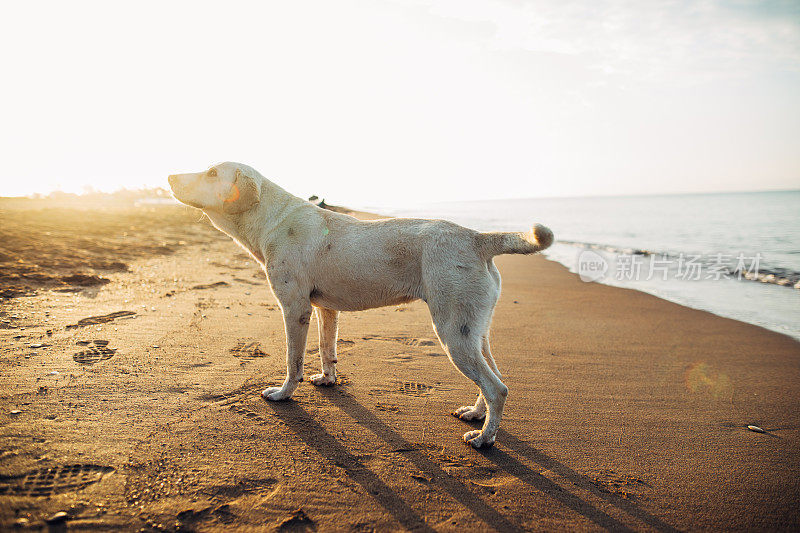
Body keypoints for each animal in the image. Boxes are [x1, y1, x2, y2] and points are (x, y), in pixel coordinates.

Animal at [169, 161, 552, 444]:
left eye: (212, 173)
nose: (170, 176)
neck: (270, 218)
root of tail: (478, 238)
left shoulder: (295, 309)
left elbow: (293, 361)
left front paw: (283, 394)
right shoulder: (325, 309)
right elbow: (327, 349)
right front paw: (327, 380)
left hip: (452, 332)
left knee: (497, 387)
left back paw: (484, 438)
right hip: (473, 330)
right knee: (493, 378)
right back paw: (476, 415)